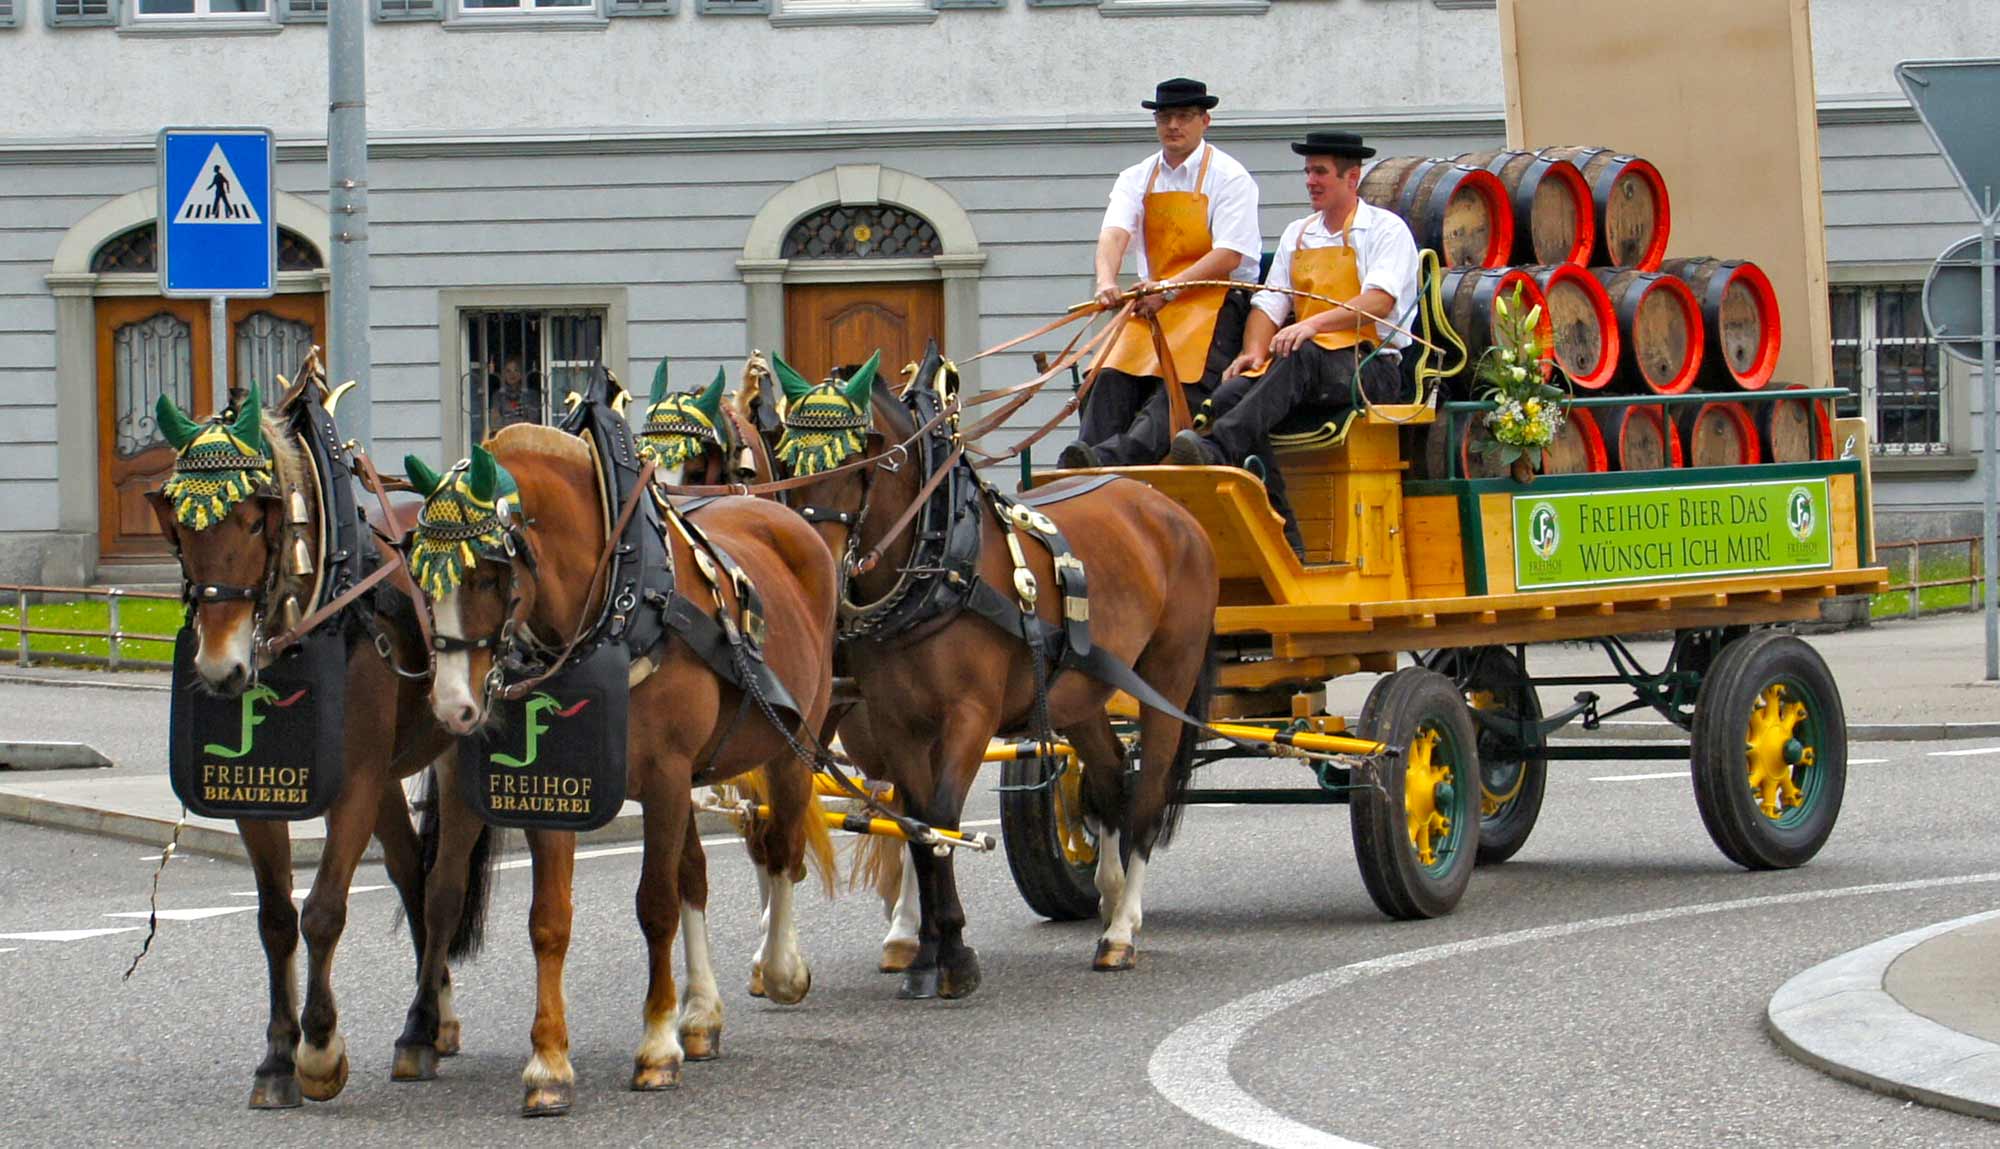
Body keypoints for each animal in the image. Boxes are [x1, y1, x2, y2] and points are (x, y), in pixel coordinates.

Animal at [148, 382, 492, 1112]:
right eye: (182, 529)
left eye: (257, 521)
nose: (221, 670)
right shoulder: (261, 795)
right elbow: (277, 917)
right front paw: (277, 1056)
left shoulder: (354, 784)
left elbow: (325, 910)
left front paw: (319, 1048)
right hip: (390, 775)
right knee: (411, 876)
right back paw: (435, 1016)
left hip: (454, 751)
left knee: (443, 888)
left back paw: (419, 1029)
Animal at [406, 424, 844, 1120]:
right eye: (421, 577)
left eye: (489, 576)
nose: (453, 707)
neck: (622, 607)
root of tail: (778, 512)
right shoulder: (563, 788)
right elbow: (550, 920)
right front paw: (549, 1063)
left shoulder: (665, 776)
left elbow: (656, 905)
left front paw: (656, 1048)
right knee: (696, 873)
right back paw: (701, 1013)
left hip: (792, 742)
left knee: (781, 849)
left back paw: (778, 969)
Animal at [776, 344, 1216, 1000]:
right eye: (785, 459)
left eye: (862, 459)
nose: (815, 567)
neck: (939, 562)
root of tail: (1169, 506)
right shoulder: (896, 722)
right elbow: (916, 825)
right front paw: (926, 952)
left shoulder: (970, 716)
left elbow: (941, 819)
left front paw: (953, 953)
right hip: (1081, 692)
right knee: (1112, 778)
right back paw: (1110, 902)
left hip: (1167, 678)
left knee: (1149, 789)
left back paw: (1121, 932)